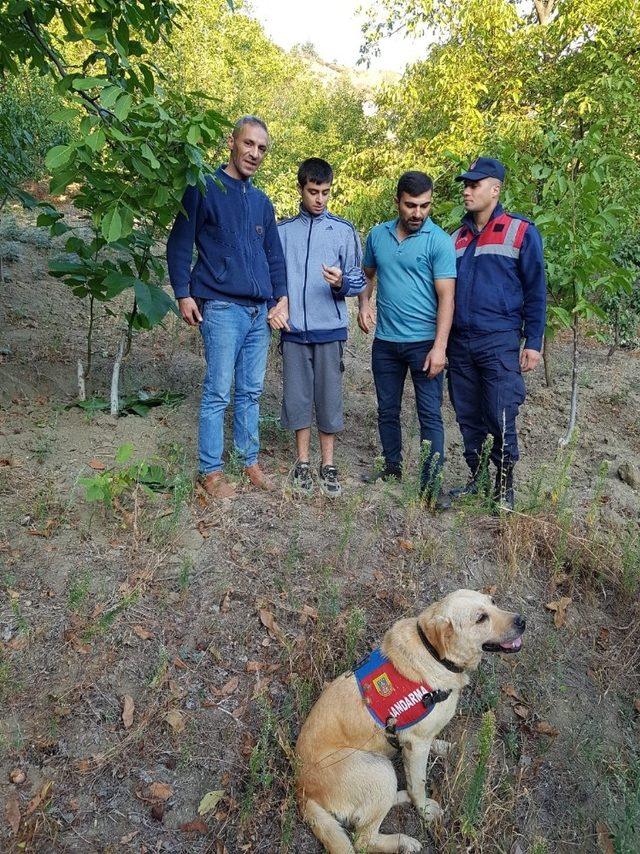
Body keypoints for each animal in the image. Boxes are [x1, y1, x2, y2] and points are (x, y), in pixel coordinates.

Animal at [296, 592, 524, 852]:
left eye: (493, 602)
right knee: (363, 840)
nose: (522, 621)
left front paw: (441, 748)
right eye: (481, 618)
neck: (435, 655)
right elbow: (419, 782)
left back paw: (401, 797)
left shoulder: (418, 740)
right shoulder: (416, 746)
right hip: (379, 770)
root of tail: (303, 791)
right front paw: (422, 810)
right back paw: (403, 841)